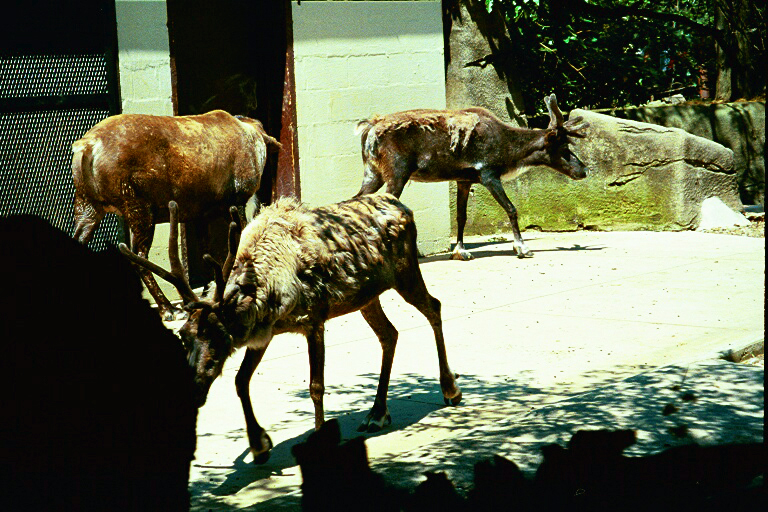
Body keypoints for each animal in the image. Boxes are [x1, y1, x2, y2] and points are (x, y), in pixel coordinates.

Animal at [72, 110, 281, 320]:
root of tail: (85, 147)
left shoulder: (200, 214)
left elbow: (206, 253)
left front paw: (207, 292)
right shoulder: (236, 200)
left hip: (89, 205)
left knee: (82, 239)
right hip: (139, 208)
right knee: (139, 256)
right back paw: (168, 308)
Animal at [119, 196, 462, 464]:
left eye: (217, 334)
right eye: (183, 336)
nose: (192, 388)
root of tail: (403, 206)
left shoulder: (314, 318)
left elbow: (316, 387)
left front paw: (320, 439)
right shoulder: (265, 332)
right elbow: (240, 381)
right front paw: (259, 445)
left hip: (405, 271)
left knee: (434, 307)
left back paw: (450, 389)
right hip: (366, 296)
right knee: (389, 334)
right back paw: (377, 413)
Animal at [355, 94, 590, 261]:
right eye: (564, 148)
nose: (584, 170)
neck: (509, 150)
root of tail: (369, 129)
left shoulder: (464, 180)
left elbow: (461, 216)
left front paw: (460, 251)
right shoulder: (489, 174)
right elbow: (512, 209)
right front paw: (522, 248)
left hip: (372, 173)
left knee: (357, 200)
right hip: (397, 173)